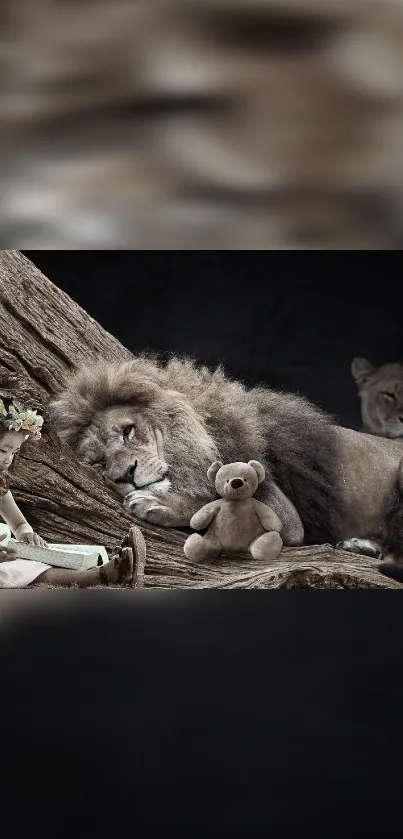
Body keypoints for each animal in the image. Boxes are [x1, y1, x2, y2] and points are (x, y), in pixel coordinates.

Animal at [50, 354, 403, 576]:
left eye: (128, 431)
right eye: (99, 462)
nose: (127, 475)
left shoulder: (287, 519)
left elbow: (221, 502)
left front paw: (157, 503)